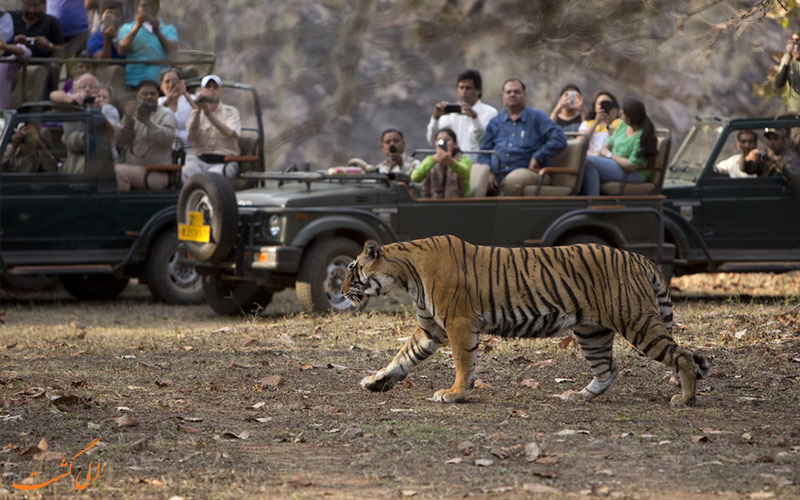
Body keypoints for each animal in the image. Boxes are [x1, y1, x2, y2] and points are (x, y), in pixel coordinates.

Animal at [340, 234, 708, 406]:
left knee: (682, 355)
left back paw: (685, 399)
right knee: (608, 369)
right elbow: (402, 357)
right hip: (592, 331)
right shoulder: (430, 328)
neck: (405, 274)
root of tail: (640, 258)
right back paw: (578, 396)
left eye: (352, 269)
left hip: (635, 320)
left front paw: (455, 394)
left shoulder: (458, 323)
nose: (342, 291)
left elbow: (462, 362)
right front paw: (376, 381)